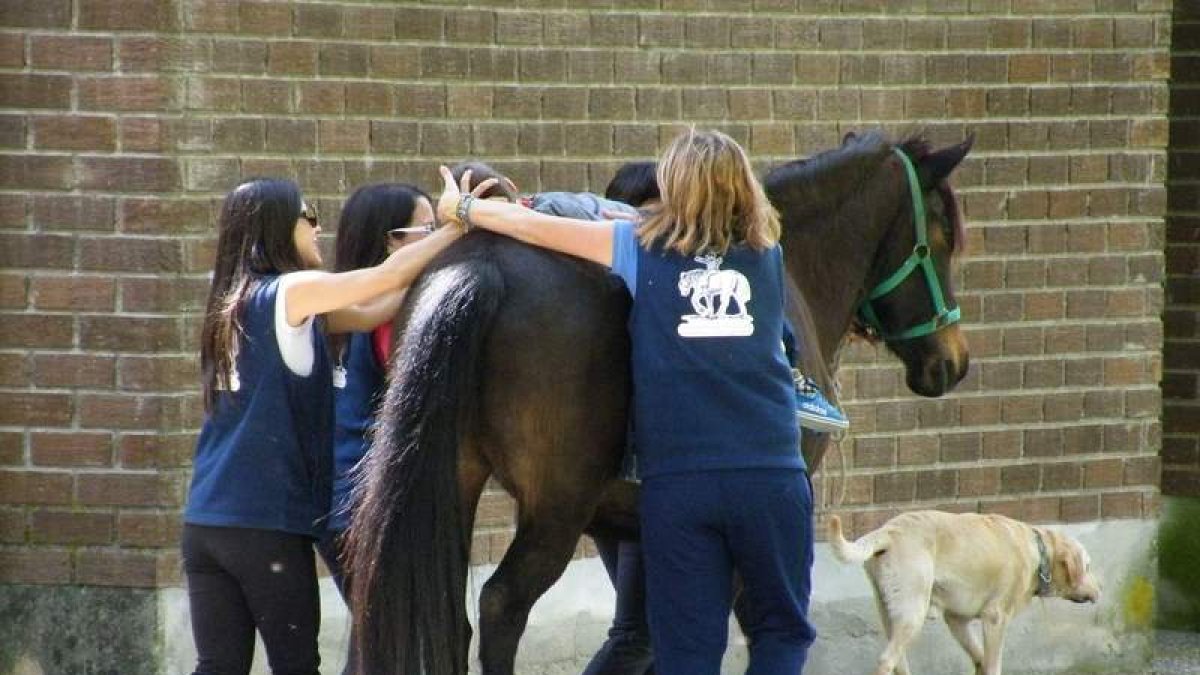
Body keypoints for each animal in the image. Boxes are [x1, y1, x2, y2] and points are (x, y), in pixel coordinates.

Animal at [343, 131, 969, 672]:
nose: (953, 360)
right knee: (501, 606)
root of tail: (480, 266)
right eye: (941, 237)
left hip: (449, 481)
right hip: (554, 509)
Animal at [830, 509, 1099, 672]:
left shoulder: (957, 620)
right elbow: (993, 663)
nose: (1100, 590)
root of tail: (889, 531)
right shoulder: (995, 618)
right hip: (913, 614)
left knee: (898, 661)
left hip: (889, 612)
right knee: (886, 660)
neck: (1040, 554)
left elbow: (980, 658)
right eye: (1087, 566)